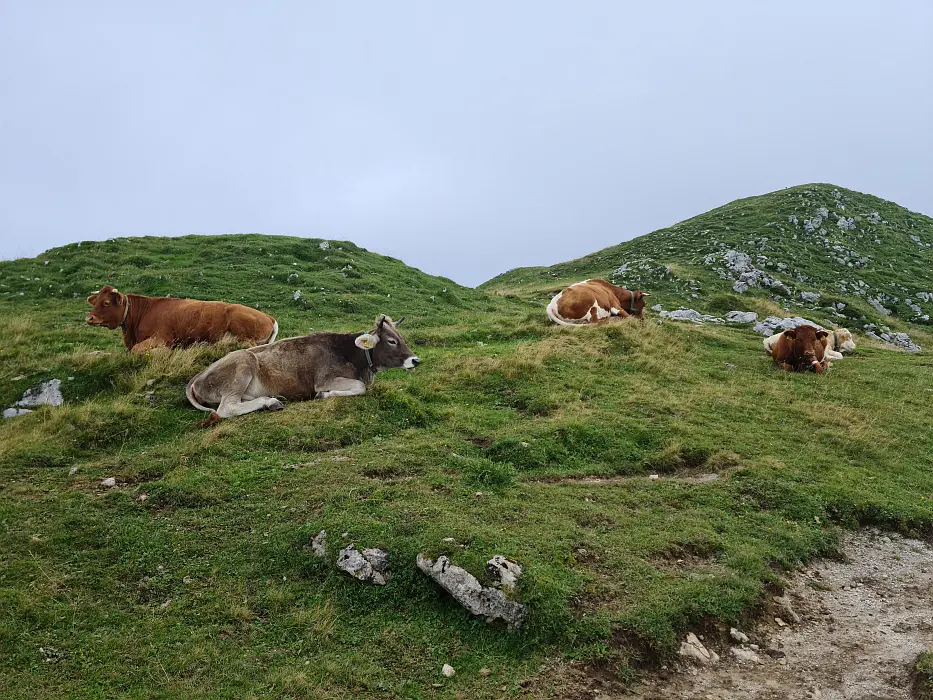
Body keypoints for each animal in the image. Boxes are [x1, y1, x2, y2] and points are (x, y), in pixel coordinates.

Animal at [86, 284, 276, 352]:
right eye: (95, 302)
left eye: (106, 303)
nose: (90, 318)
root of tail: (269, 316)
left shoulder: (163, 337)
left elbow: (136, 350)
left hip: (241, 328)